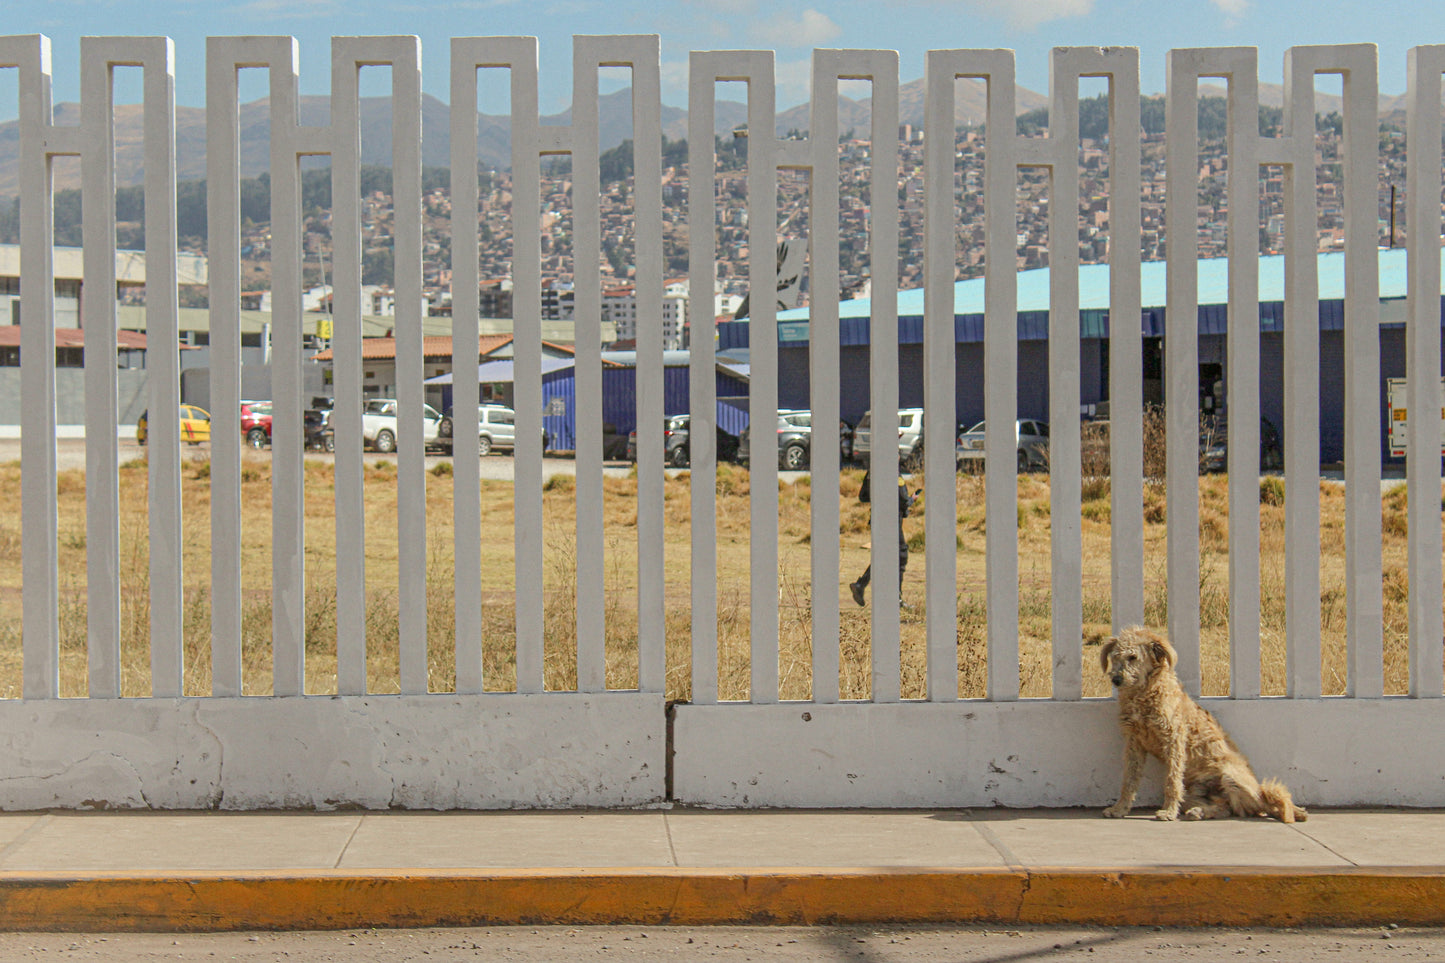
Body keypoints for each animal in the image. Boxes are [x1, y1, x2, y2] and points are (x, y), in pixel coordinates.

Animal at [1098, 627, 1306, 821]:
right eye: (1115, 656)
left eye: (1133, 657)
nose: (1116, 679)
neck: (1143, 695)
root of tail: (1261, 792)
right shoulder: (1134, 744)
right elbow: (1129, 780)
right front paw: (1120, 809)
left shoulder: (1174, 741)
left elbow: (1172, 781)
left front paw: (1169, 812)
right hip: (1192, 793)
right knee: (1227, 808)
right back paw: (1198, 812)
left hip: (1230, 776)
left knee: (1250, 808)